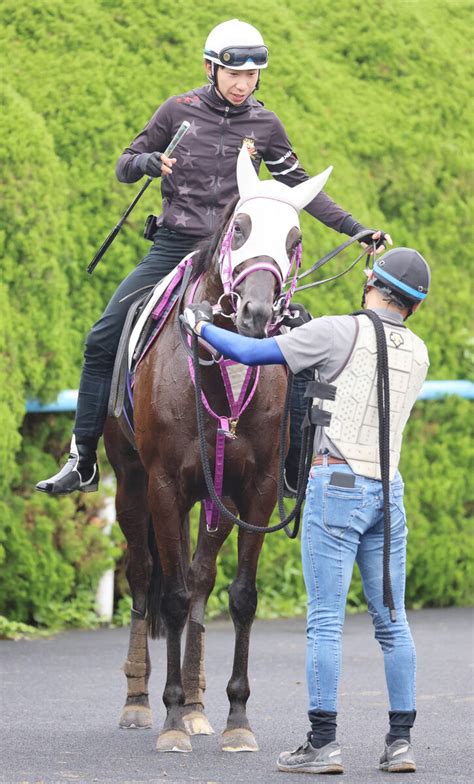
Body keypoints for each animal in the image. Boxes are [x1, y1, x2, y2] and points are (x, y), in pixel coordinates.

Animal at [103, 147, 334, 752]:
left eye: (295, 238)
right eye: (240, 227)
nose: (255, 313)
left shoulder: (253, 491)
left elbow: (238, 595)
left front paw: (235, 718)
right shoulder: (162, 484)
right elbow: (171, 595)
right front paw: (169, 721)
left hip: (215, 498)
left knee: (201, 578)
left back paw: (198, 704)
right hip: (131, 484)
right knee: (145, 574)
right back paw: (140, 701)